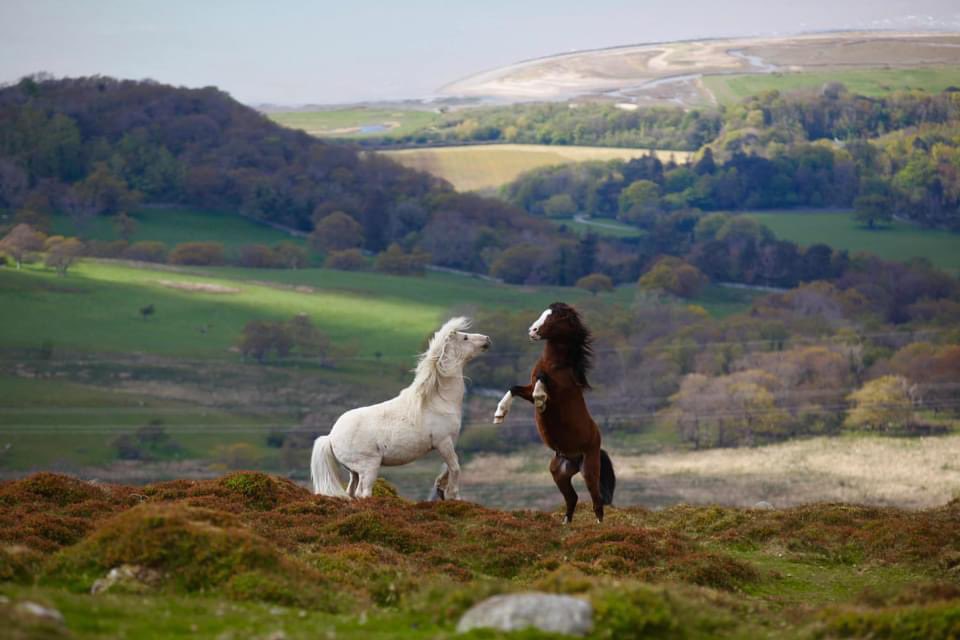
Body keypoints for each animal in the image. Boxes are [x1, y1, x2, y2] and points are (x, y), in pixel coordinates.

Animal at [312, 318, 492, 498]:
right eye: (465, 338)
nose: (487, 339)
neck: (439, 401)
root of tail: (331, 437)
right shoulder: (444, 442)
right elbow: (455, 468)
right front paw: (451, 494)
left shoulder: (449, 443)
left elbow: (449, 468)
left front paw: (441, 487)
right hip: (369, 467)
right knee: (362, 493)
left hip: (354, 471)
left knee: (350, 492)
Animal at [496, 302, 616, 524]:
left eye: (556, 318)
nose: (532, 331)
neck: (554, 364)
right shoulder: (527, 389)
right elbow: (515, 388)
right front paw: (499, 414)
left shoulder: (558, 393)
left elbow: (542, 382)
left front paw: (541, 399)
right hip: (559, 473)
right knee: (572, 498)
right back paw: (565, 523)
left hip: (589, 468)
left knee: (597, 500)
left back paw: (599, 526)